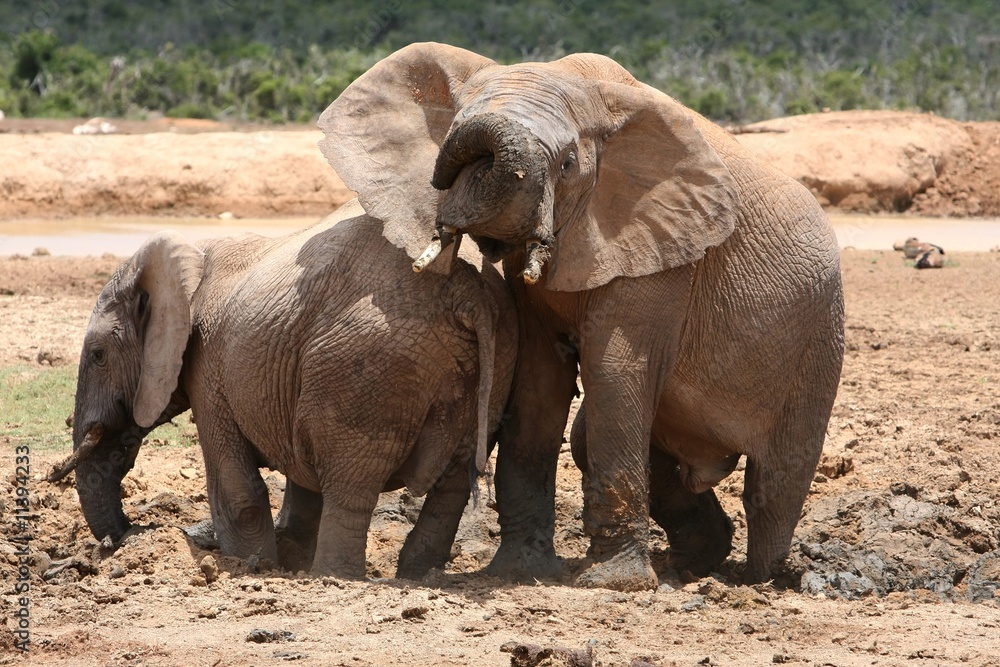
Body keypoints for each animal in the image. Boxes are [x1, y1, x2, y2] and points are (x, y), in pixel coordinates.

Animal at [56, 199, 517, 579]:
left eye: (97, 355)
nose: (126, 536)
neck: (190, 260)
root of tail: (466, 292)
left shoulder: (207, 364)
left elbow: (238, 489)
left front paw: (252, 564)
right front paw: (284, 555)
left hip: (368, 364)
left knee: (349, 480)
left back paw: (333, 577)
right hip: (493, 357)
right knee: (452, 483)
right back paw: (417, 576)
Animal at [319, 42, 845, 591]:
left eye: (568, 164)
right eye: (447, 135)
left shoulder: (662, 252)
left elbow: (614, 371)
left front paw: (614, 584)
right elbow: (538, 382)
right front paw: (520, 571)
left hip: (817, 336)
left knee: (776, 479)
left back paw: (762, 580)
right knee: (597, 439)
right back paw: (693, 564)